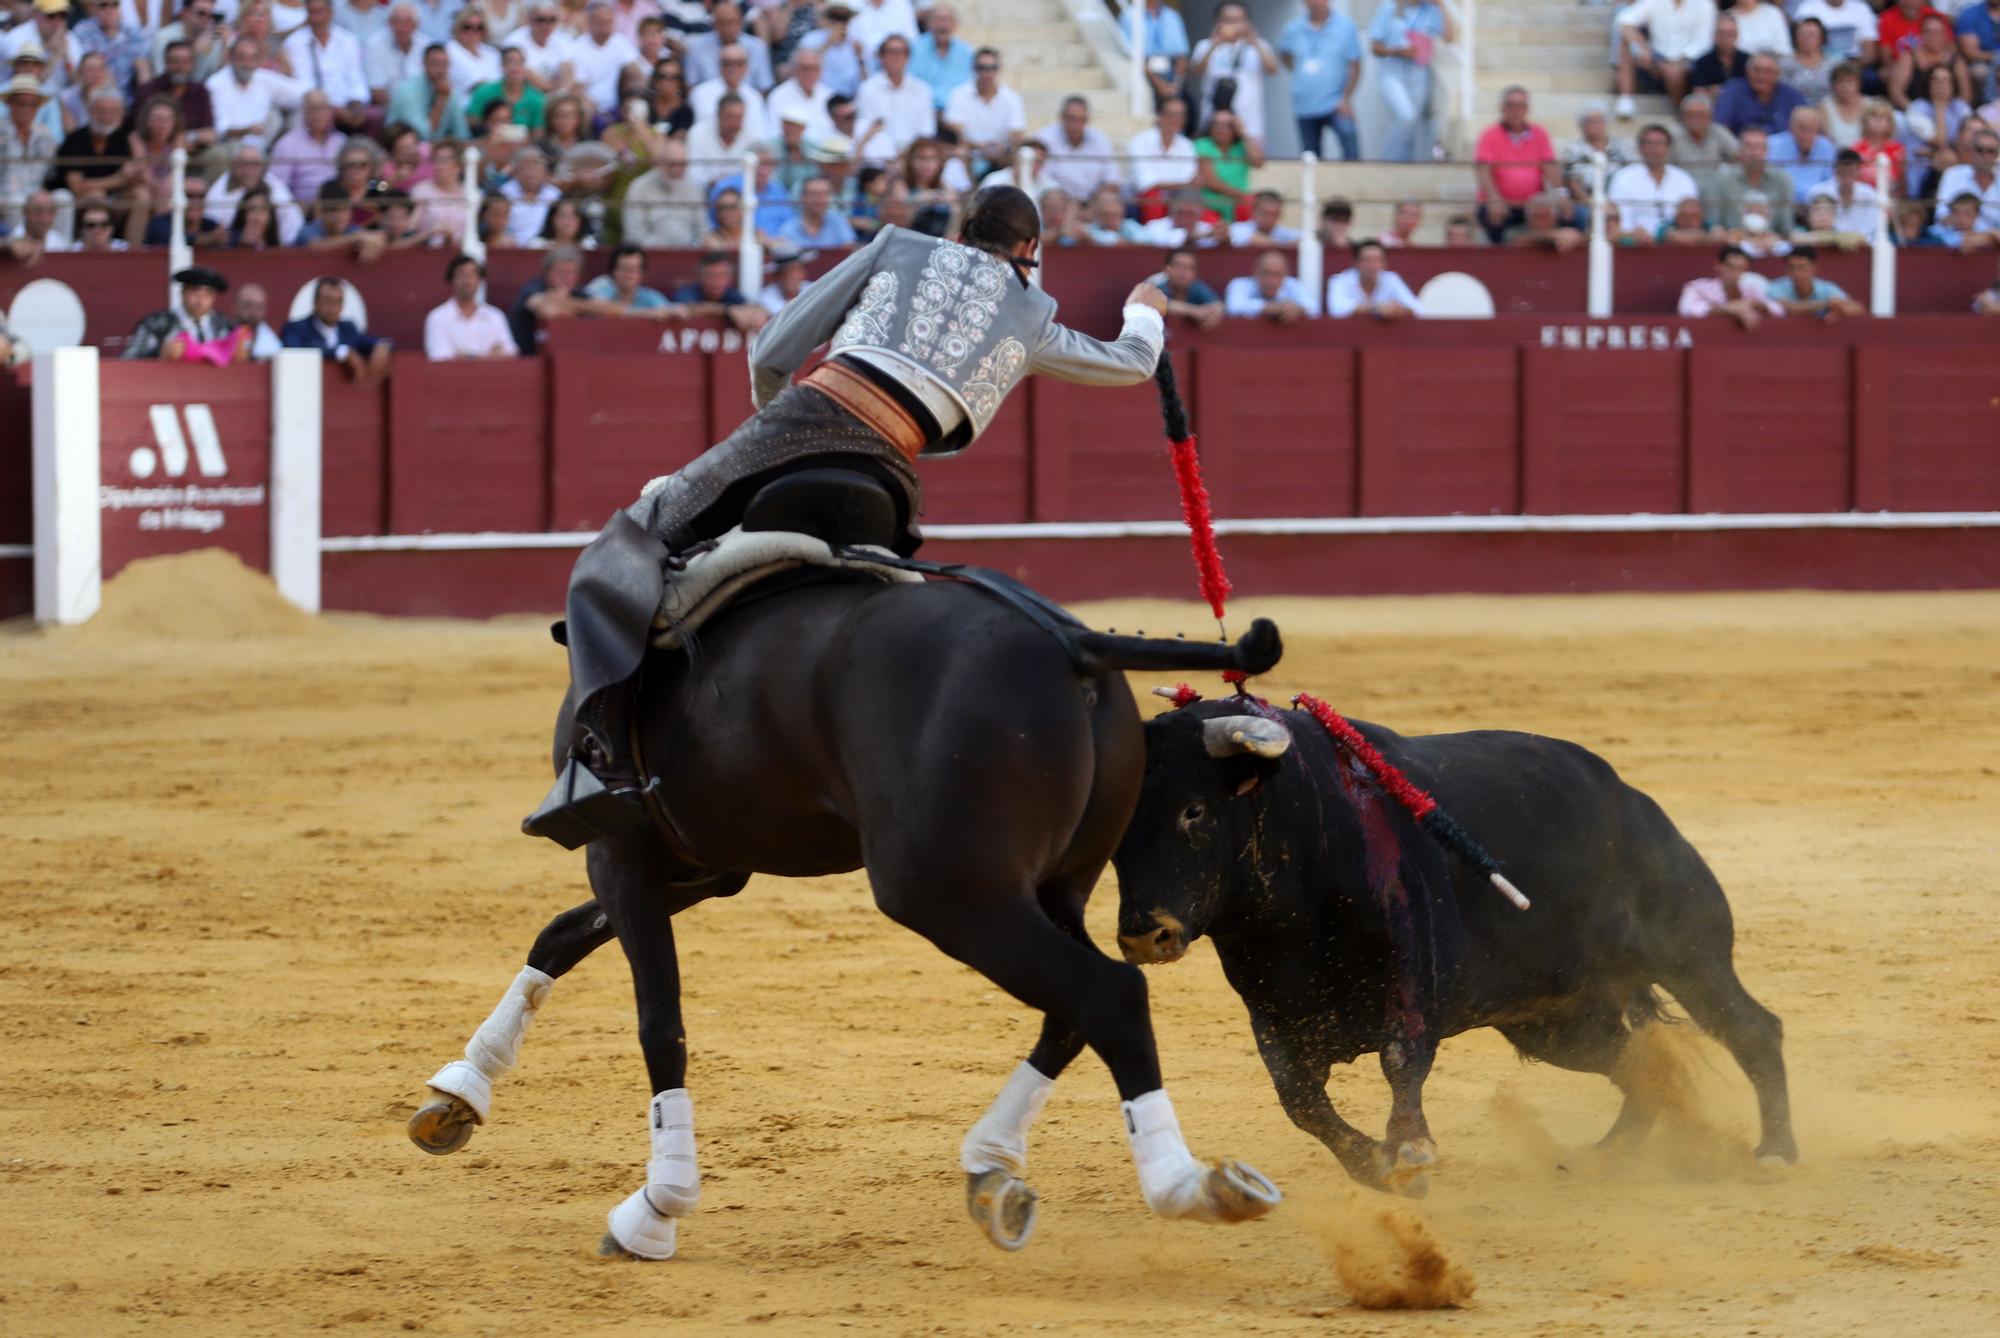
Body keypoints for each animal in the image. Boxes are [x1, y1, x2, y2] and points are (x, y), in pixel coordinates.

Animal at [410, 560, 1280, 1256]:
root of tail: (1076, 642)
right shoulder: (703, 867)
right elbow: (560, 933)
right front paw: (460, 1090)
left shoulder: (621, 857)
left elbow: (660, 1021)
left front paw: (656, 1208)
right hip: (1050, 885)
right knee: (1072, 1009)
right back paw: (993, 1169)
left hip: (947, 892)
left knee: (1109, 994)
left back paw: (1184, 1184)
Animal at [1112, 700, 1800, 1192]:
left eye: (1195, 810)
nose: (1145, 934)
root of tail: (1629, 797)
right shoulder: (1275, 1012)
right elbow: (1301, 1102)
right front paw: (1378, 1164)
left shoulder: (1413, 973)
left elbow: (1401, 1058)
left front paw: (1411, 1149)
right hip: (1555, 1021)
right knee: (1640, 1061)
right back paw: (1612, 1153)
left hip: (1686, 950)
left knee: (1750, 1027)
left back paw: (1774, 1154)